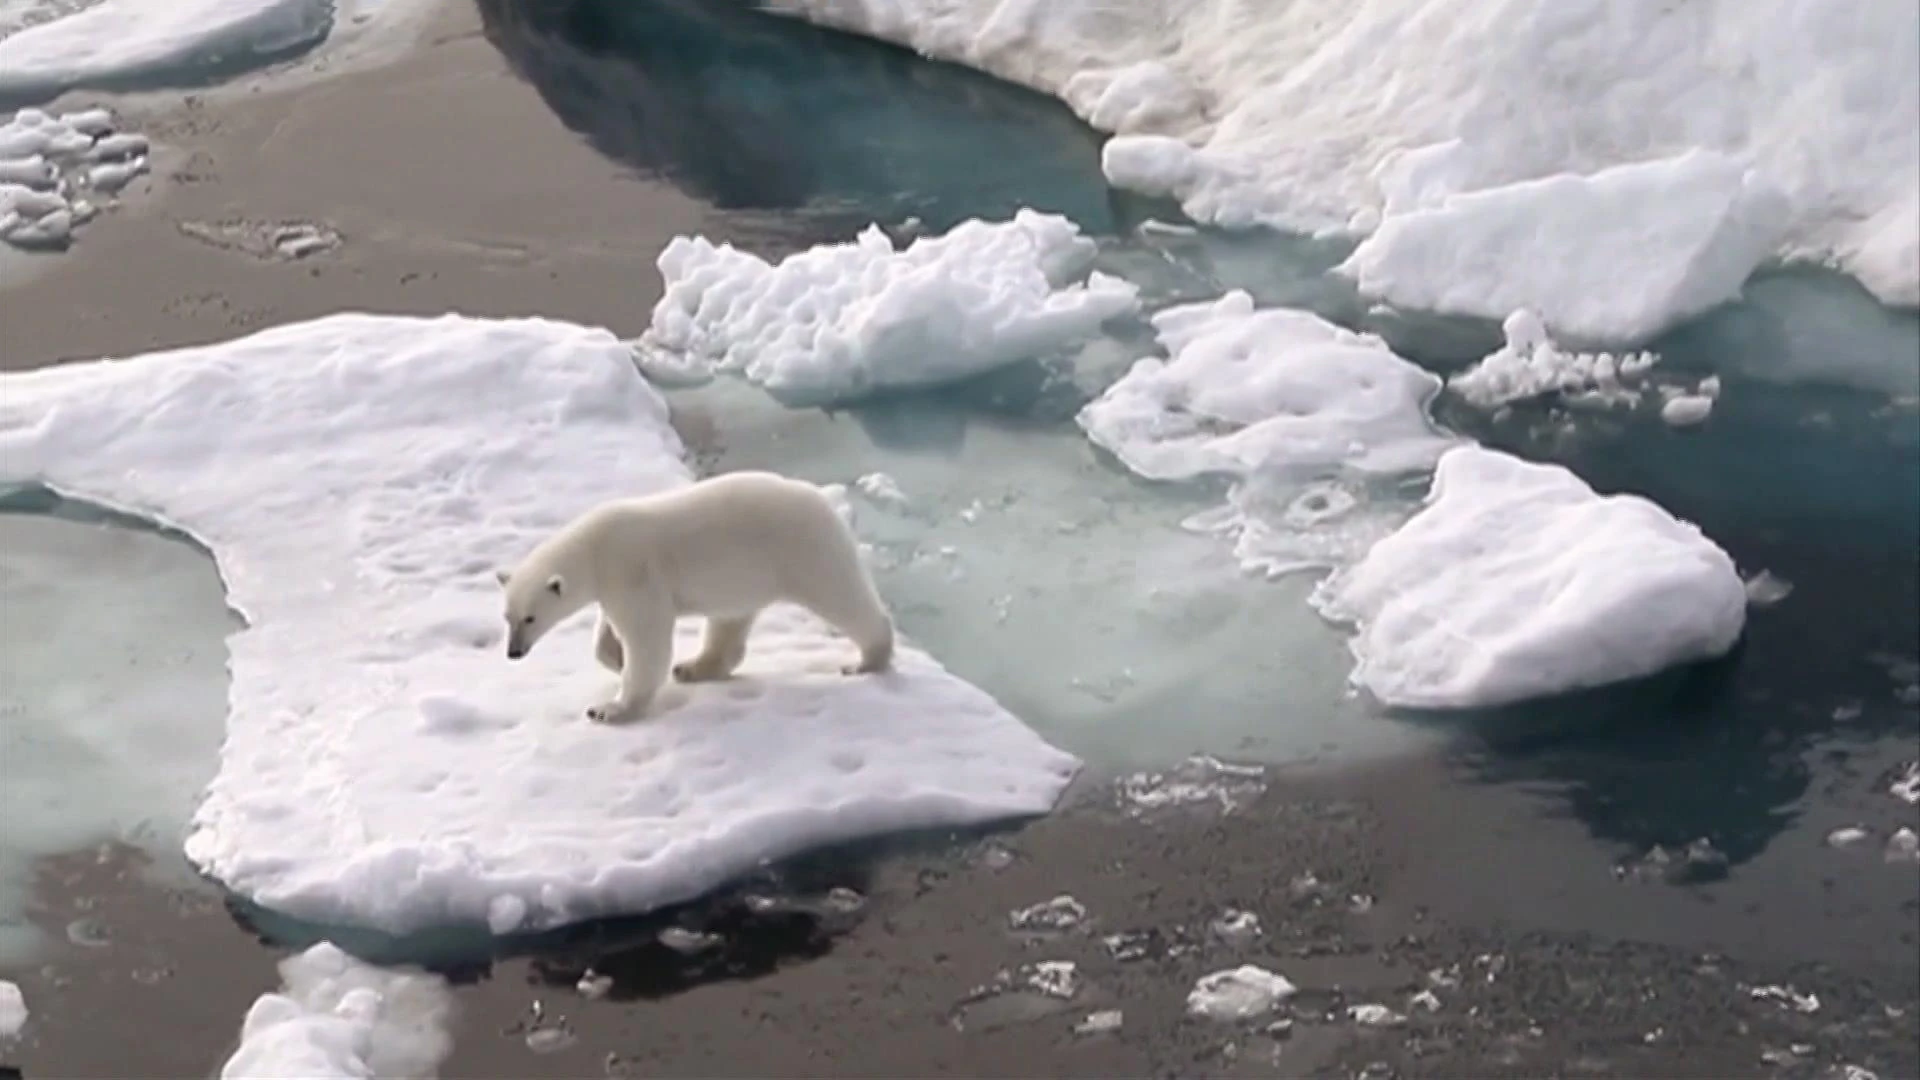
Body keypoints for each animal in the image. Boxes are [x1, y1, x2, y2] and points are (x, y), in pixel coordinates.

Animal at [491, 466, 887, 718]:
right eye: (507, 617)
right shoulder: (614, 584)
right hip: (748, 574)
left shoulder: (631, 570)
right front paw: (616, 658)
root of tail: (826, 502)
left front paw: (609, 708)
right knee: (728, 622)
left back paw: (868, 659)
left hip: (803, 550)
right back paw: (693, 668)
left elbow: (646, 637)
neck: (593, 548)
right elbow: (608, 631)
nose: (513, 652)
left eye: (530, 617)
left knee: (842, 596)